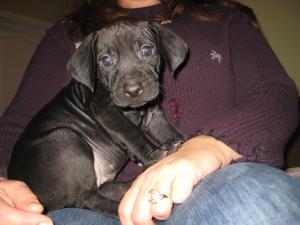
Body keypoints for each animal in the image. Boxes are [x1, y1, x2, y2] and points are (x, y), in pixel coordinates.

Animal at [7, 19, 188, 218]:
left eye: (147, 50)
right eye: (105, 60)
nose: (133, 90)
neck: (135, 110)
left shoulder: (154, 117)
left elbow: (168, 132)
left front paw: (186, 141)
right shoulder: (104, 110)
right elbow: (132, 132)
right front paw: (155, 155)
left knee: (102, 189)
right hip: (64, 138)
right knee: (86, 199)